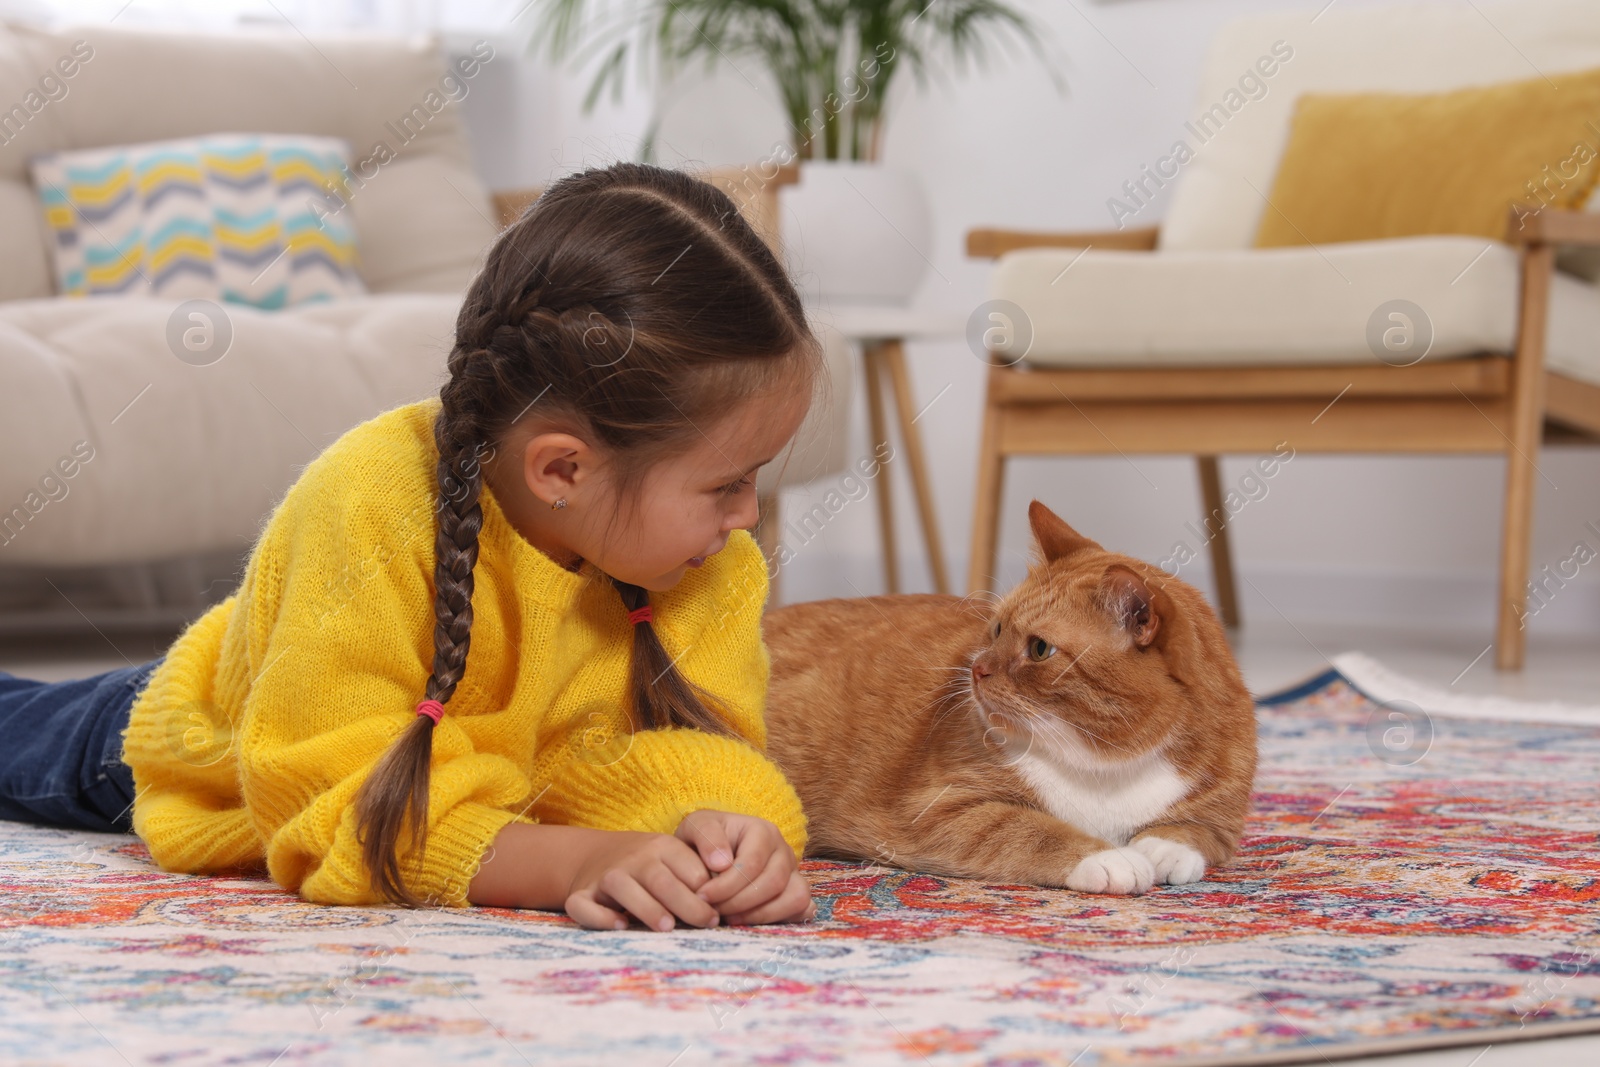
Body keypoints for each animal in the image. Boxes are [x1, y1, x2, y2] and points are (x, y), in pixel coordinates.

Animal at [764, 499, 1260, 895]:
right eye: (998, 627)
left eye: (1039, 649)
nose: (976, 669)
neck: (1105, 768)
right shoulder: (935, 810)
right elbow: (1028, 828)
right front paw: (1109, 857)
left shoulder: (1223, 813)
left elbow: (1199, 831)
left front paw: (1162, 848)